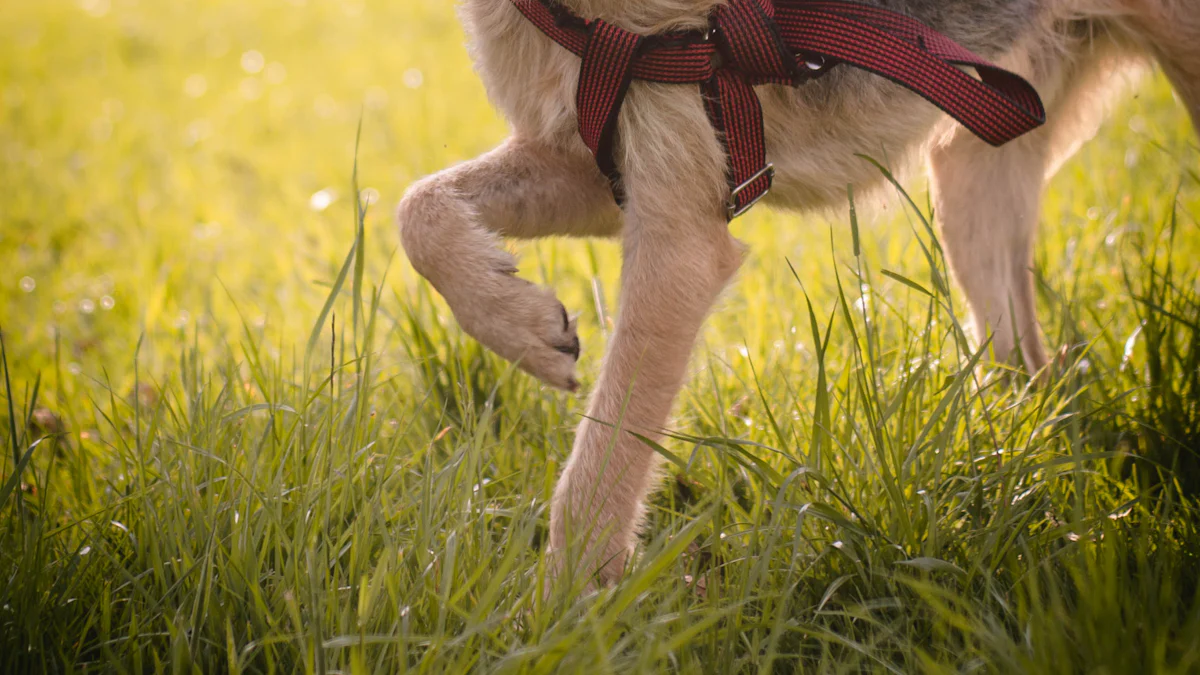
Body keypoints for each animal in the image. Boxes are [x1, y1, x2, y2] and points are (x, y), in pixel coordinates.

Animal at [396, 0, 1200, 583]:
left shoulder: (678, 232)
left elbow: (597, 475)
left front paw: (567, 622)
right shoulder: (594, 167)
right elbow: (417, 209)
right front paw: (523, 328)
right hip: (976, 164)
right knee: (1029, 369)